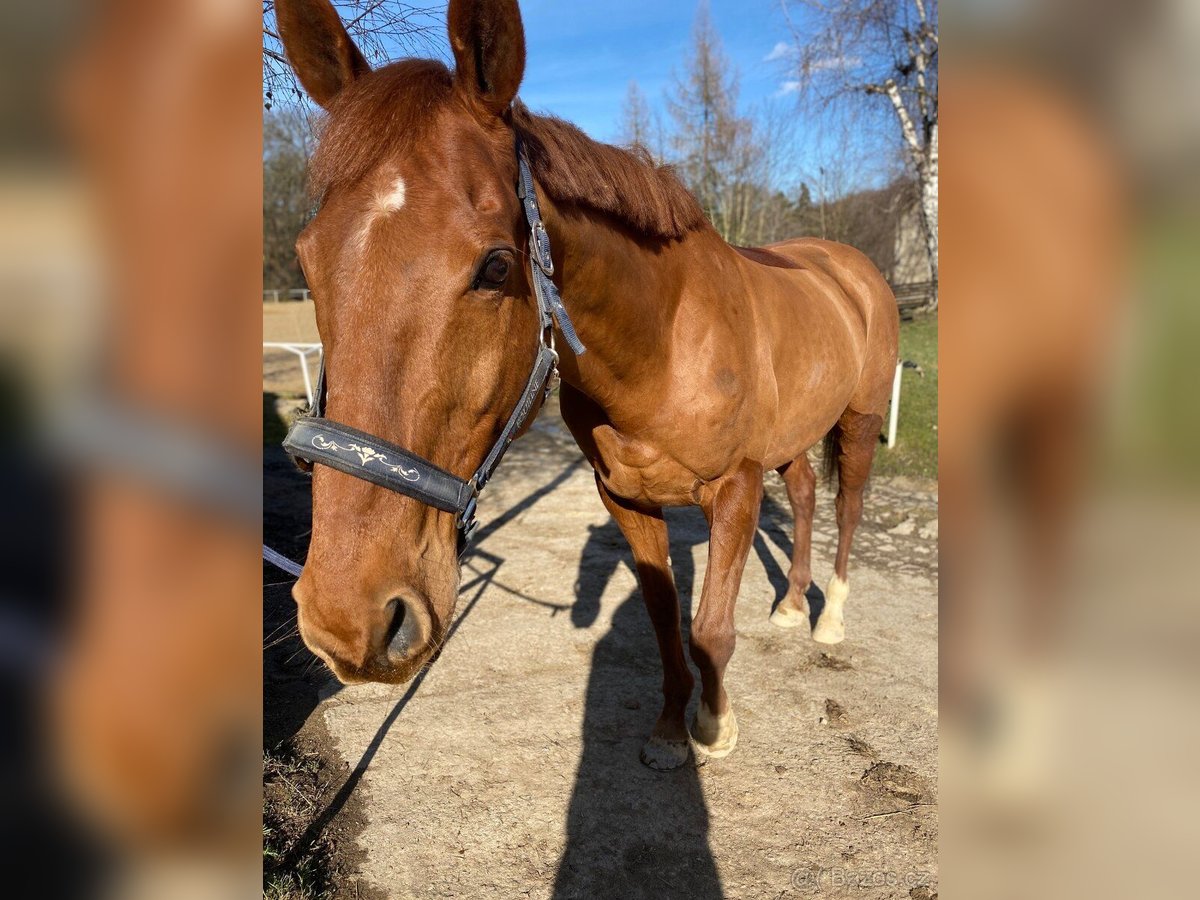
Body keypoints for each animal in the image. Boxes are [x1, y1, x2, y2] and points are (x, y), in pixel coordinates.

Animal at [276, 1, 897, 777]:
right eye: (307, 258)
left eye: (496, 266)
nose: (346, 619)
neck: (664, 344)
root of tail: (848, 266)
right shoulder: (625, 497)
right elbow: (662, 617)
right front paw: (668, 730)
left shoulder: (736, 486)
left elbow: (709, 627)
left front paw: (714, 727)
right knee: (810, 494)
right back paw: (788, 607)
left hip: (859, 420)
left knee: (848, 505)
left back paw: (830, 619)